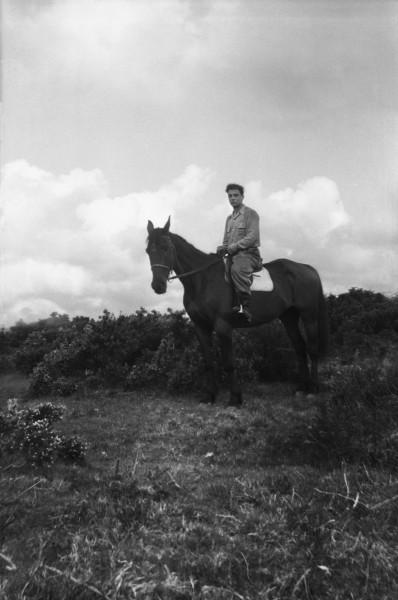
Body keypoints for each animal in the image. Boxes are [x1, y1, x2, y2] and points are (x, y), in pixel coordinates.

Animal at [145, 218, 328, 406]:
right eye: (148, 251)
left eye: (165, 248)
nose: (158, 286)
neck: (202, 280)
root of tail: (307, 268)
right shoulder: (200, 327)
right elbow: (208, 363)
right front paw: (209, 395)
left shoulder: (223, 326)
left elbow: (228, 363)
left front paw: (235, 398)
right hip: (289, 317)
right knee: (299, 348)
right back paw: (301, 388)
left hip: (309, 316)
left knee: (312, 349)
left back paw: (313, 389)